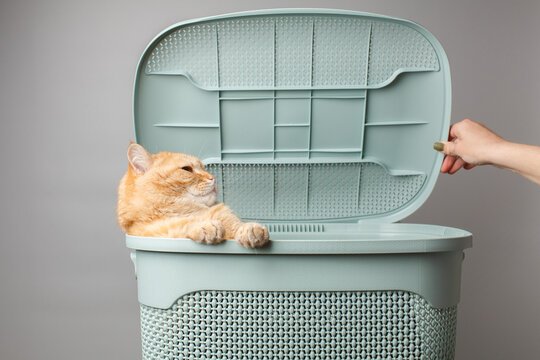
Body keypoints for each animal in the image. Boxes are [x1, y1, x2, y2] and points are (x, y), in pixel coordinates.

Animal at [117, 143, 270, 248]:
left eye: (203, 167)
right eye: (187, 169)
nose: (213, 178)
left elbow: (238, 226)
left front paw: (251, 229)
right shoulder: (153, 232)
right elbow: (181, 226)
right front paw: (206, 226)